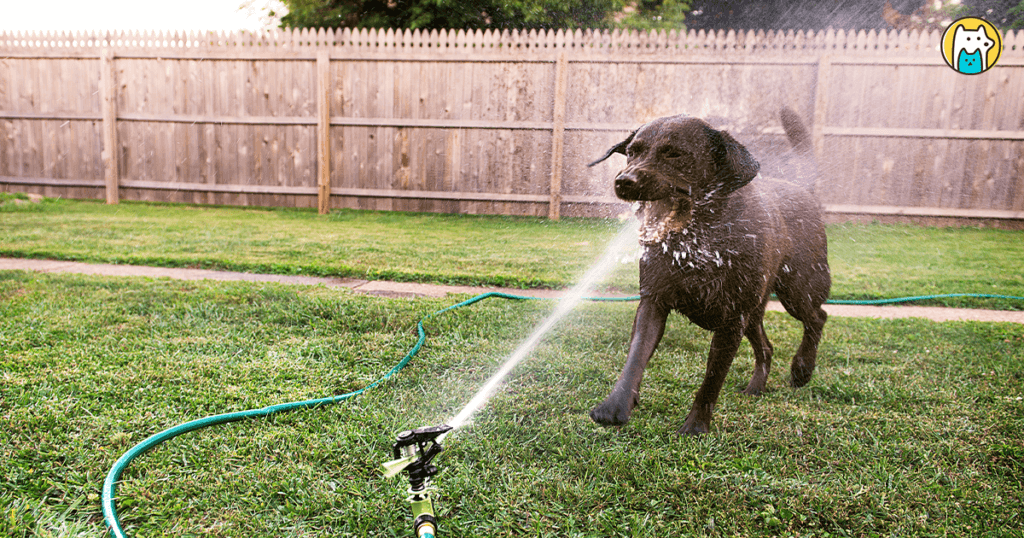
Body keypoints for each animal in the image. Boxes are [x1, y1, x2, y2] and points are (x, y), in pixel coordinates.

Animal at [585, 107, 831, 434]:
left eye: (674, 153)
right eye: (633, 152)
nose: (624, 180)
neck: (699, 238)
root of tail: (802, 189)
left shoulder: (732, 318)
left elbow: (712, 379)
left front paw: (695, 427)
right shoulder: (654, 301)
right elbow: (635, 357)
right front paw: (615, 406)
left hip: (796, 289)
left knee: (817, 317)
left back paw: (802, 368)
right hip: (754, 311)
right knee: (766, 348)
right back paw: (757, 386)